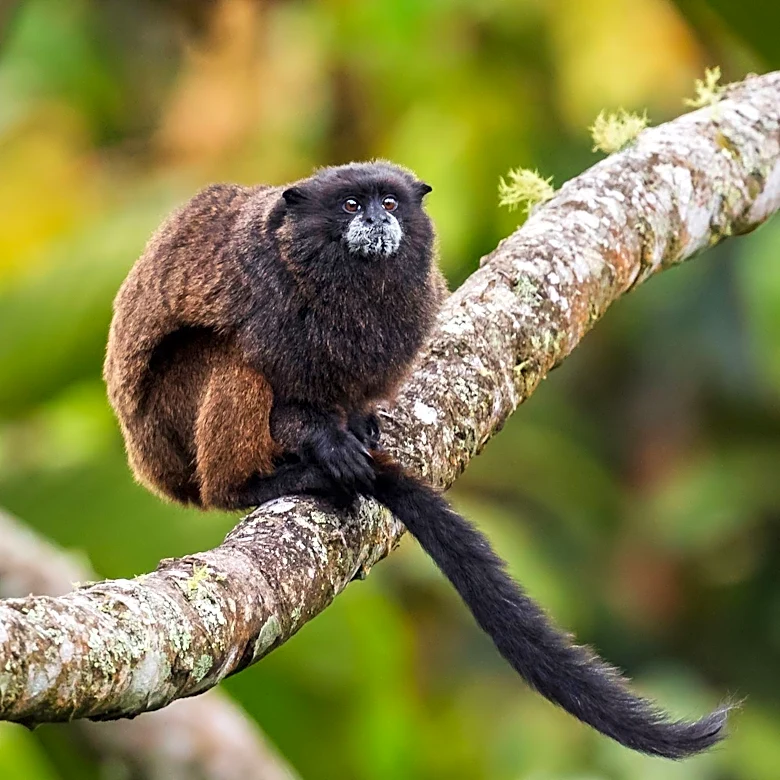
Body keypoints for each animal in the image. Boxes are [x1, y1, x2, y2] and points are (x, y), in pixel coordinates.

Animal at [104, 160, 730, 759]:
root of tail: (149, 464)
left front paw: (356, 423)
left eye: (389, 200)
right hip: (170, 424)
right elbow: (282, 395)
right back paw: (248, 485)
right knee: (230, 364)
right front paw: (328, 446)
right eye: (350, 205)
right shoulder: (268, 302)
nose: (378, 218)